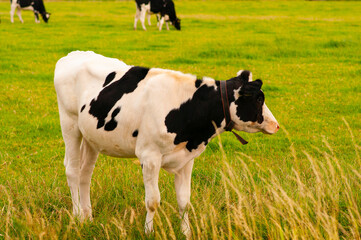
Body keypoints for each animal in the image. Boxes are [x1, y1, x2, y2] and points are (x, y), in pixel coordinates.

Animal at [54, 51, 278, 238]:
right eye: (259, 99)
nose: (275, 125)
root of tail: (72, 55)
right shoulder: (149, 157)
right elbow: (153, 201)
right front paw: (149, 232)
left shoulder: (186, 159)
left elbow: (184, 201)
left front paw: (186, 232)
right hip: (69, 124)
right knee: (73, 171)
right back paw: (77, 216)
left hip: (91, 137)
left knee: (85, 173)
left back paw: (88, 217)